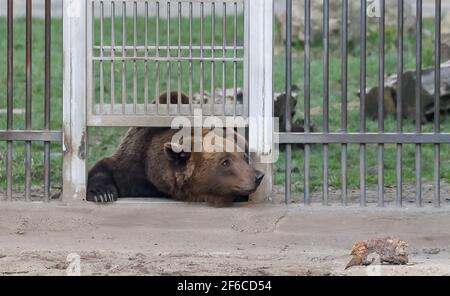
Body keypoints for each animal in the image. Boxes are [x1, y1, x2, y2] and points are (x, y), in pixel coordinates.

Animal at [87, 92, 264, 206]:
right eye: (225, 162)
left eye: (244, 157)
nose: (258, 176)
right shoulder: (133, 167)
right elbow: (105, 167)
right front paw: (103, 194)